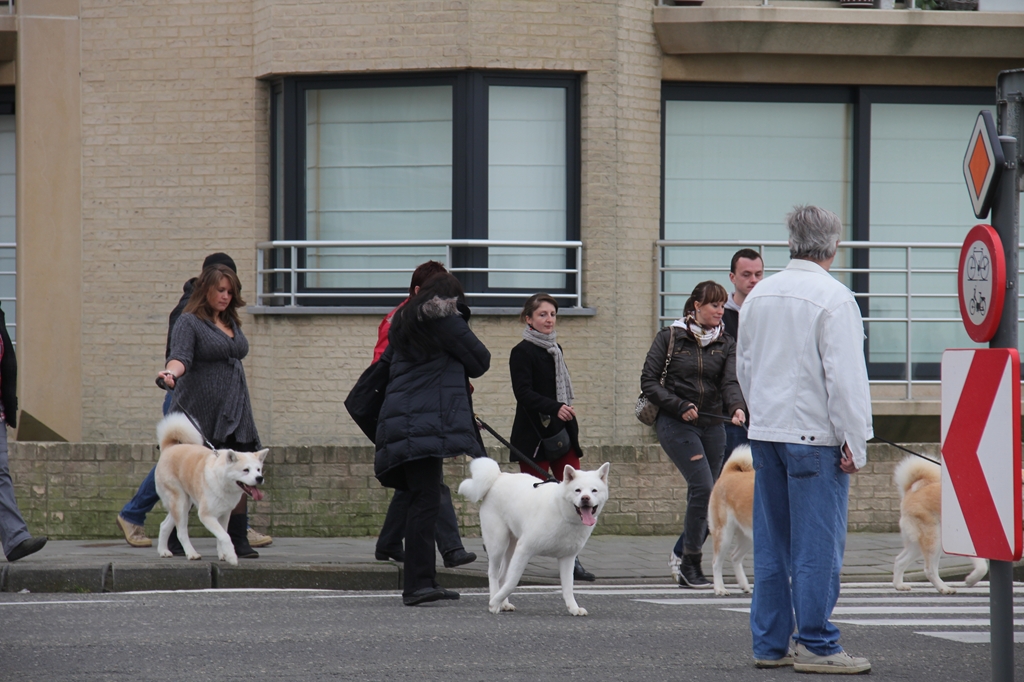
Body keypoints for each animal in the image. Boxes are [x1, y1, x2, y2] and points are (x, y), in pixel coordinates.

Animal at [153, 413, 268, 561]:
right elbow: (225, 536)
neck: (222, 482)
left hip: (184, 504)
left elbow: (221, 535)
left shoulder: (224, 514)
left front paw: (224, 554)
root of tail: (169, 447)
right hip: (180, 502)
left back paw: (163, 551)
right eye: (245, 470)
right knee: (181, 532)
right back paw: (191, 553)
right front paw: (231, 556)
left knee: (164, 525)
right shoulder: (206, 515)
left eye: (258, 469)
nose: (259, 478)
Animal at [460, 456, 610, 614]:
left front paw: (574, 608)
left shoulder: (567, 558)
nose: (585, 498)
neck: (562, 512)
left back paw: (504, 604)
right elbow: (512, 582)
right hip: (498, 544)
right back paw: (495, 600)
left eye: (594, 490)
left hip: (511, 547)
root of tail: (498, 476)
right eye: (578, 490)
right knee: (494, 574)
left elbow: (568, 587)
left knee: (502, 576)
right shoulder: (524, 549)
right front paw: (494, 603)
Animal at [708, 440, 757, 593]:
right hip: (724, 534)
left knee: (735, 556)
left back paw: (744, 585)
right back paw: (719, 588)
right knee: (716, 562)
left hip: (749, 536)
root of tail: (729, 472)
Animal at [892, 454, 987, 593]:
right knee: (929, 570)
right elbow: (982, 567)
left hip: (918, 544)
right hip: (933, 540)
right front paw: (970, 580)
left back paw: (899, 585)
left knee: (899, 560)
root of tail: (911, 490)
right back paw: (944, 588)